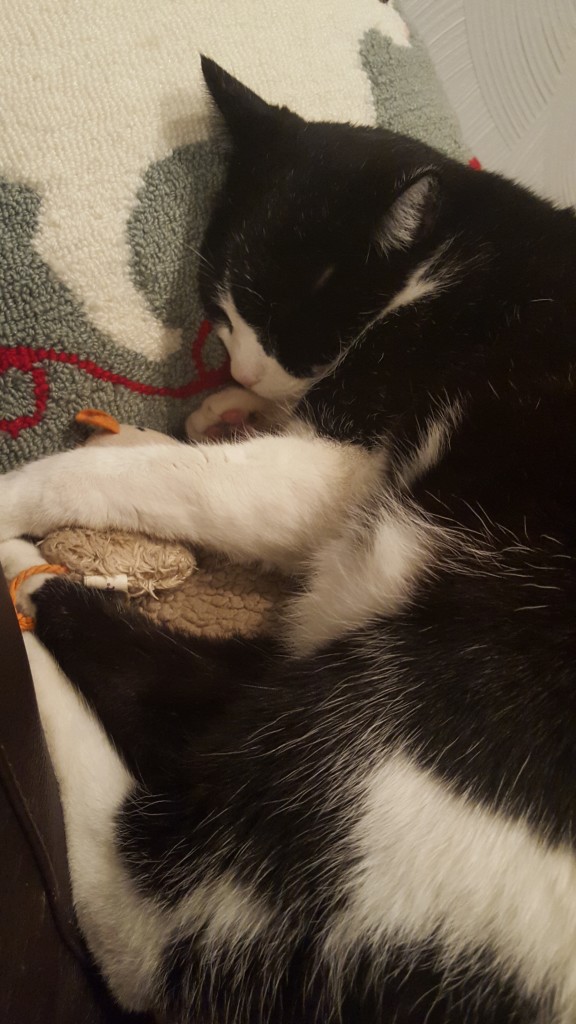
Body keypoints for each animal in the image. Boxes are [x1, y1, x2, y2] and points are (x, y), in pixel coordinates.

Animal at [1, 61, 573, 1024]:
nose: (241, 368)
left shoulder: (335, 467)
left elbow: (175, 482)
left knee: (141, 902)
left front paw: (25, 490)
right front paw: (209, 415)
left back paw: (30, 603)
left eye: (276, 315)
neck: (453, 256)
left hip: (401, 732)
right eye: (222, 314)